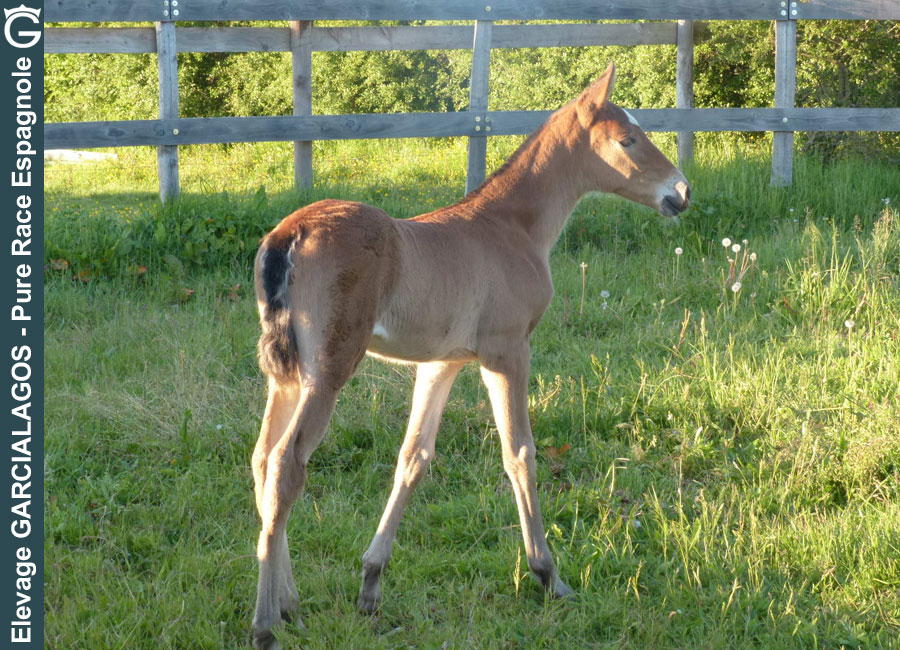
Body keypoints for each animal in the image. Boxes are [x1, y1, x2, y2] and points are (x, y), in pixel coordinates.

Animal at [250, 62, 684, 648]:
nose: (680, 191)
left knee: (261, 460)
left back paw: (290, 602)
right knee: (286, 464)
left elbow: (413, 459)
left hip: (289, 376)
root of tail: (289, 232)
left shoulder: (443, 363)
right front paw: (549, 576)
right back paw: (265, 623)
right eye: (627, 139)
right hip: (330, 370)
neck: (510, 227)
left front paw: (371, 585)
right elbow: (520, 454)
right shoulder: (507, 352)